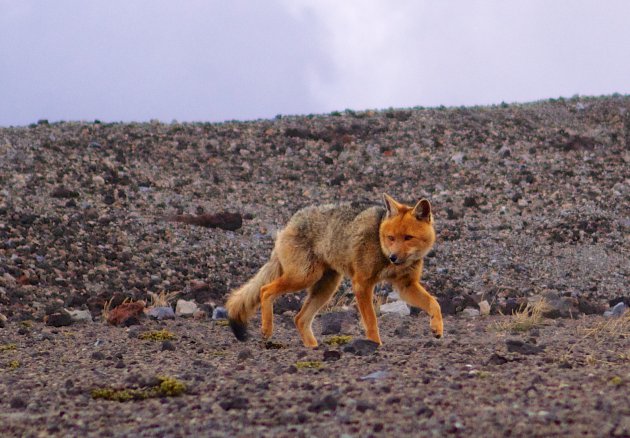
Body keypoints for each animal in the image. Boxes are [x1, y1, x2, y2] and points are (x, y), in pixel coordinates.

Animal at [227, 193, 444, 348]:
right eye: (390, 238)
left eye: (408, 238)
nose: (393, 257)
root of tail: (290, 222)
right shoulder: (362, 284)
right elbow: (371, 321)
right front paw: (375, 345)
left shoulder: (406, 285)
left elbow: (434, 304)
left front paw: (437, 327)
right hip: (304, 277)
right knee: (265, 290)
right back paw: (267, 329)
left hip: (326, 287)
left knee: (299, 319)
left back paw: (313, 348)